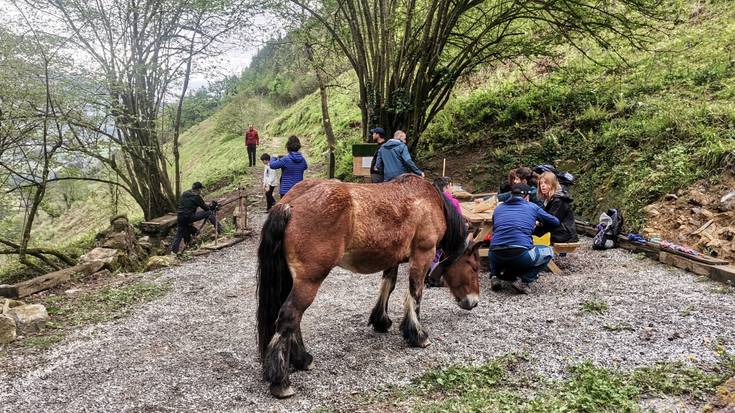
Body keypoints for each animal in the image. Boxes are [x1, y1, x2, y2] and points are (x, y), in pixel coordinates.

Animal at [258, 173, 484, 396]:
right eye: (474, 267)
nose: (473, 302)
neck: (430, 201)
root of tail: (290, 204)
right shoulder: (423, 255)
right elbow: (415, 293)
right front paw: (417, 334)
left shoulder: (393, 258)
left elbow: (388, 285)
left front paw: (381, 320)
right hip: (309, 281)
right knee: (290, 316)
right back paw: (281, 381)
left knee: (293, 320)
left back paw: (302, 360)